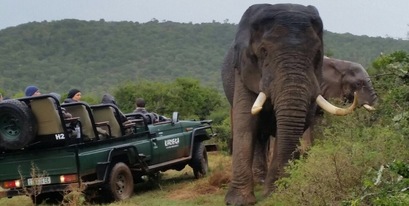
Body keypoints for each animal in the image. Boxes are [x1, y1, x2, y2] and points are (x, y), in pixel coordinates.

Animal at [220, 3, 356, 206]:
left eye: (317, 54)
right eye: (263, 52)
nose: (272, 192)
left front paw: (275, 193)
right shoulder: (243, 70)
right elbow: (245, 123)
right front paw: (238, 202)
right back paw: (259, 180)